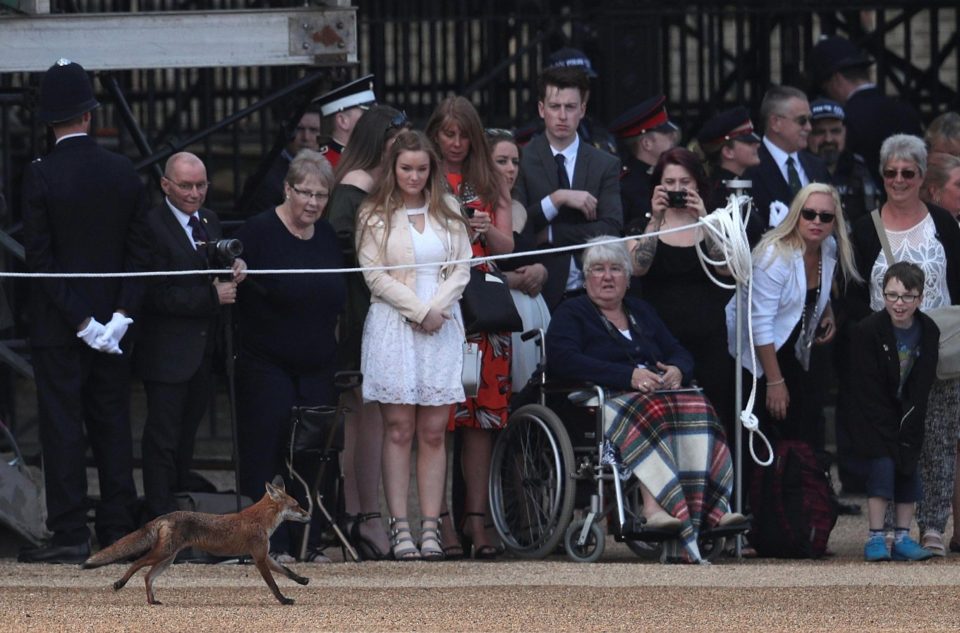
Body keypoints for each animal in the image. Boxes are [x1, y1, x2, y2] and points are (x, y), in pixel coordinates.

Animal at [81, 476, 312, 604]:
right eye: (297, 505)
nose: (310, 515)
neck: (261, 520)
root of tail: (166, 515)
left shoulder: (265, 555)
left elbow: (287, 572)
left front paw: (302, 580)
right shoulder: (259, 558)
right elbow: (273, 584)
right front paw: (283, 600)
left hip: (167, 559)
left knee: (147, 576)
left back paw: (152, 601)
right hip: (163, 554)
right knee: (137, 563)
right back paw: (120, 583)